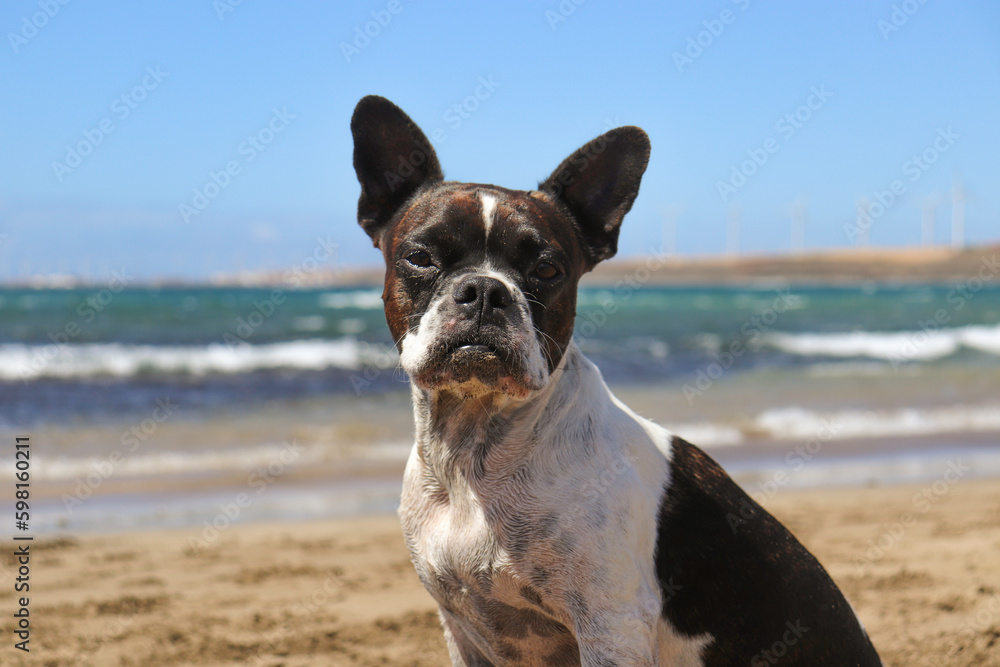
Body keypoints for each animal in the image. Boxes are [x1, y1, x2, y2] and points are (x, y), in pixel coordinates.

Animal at [352, 95, 884, 667]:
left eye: (547, 270)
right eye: (420, 257)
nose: (484, 291)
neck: (475, 452)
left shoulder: (610, 627)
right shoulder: (462, 629)